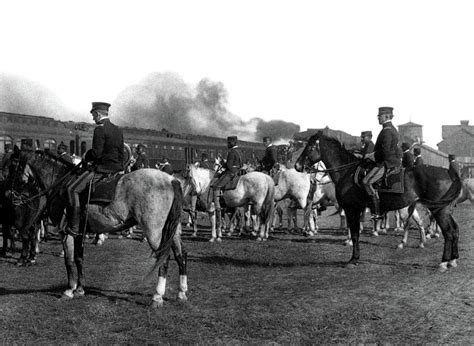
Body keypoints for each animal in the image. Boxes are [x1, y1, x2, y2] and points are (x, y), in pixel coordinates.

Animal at [13, 150, 187, 306]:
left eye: (13, 167)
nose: (13, 196)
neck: (60, 184)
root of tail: (171, 180)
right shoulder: (79, 233)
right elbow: (79, 259)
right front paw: (80, 289)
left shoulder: (66, 233)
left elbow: (69, 260)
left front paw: (69, 290)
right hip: (173, 231)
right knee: (181, 255)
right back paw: (182, 292)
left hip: (154, 232)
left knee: (164, 258)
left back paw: (157, 296)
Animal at [296, 132, 462, 270]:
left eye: (310, 147)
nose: (297, 165)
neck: (347, 172)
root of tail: (448, 172)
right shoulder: (357, 209)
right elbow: (355, 231)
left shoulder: (351, 209)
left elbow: (355, 234)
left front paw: (354, 259)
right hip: (443, 209)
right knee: (454, 229)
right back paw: (452, 260)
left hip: (438, 210)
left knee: (448, 232)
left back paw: (443, 262)